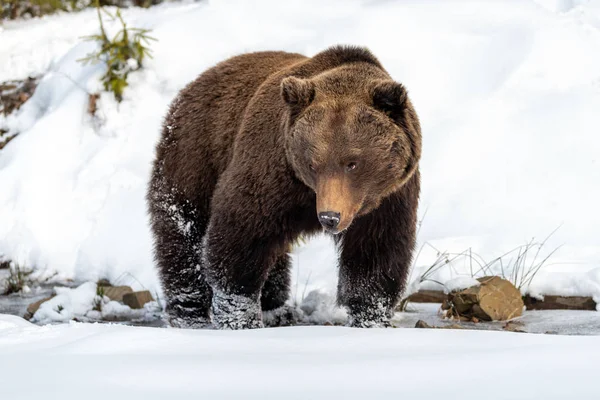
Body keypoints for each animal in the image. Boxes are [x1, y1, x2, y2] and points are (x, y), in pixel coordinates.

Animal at [148, 45, 422, 330]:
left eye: (352, 163)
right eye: (313, 163)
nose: (329, 217)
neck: (309, 193)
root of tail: (194, 83)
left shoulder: (388, 197)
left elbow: (375, 254)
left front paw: (370, 319)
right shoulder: (273, 173)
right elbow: (239, 237)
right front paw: (241, 319)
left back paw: (277, 309)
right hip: (195, 154)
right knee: (183, 231)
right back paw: (190, 315)